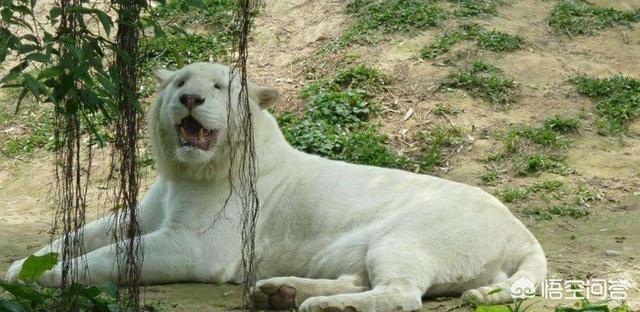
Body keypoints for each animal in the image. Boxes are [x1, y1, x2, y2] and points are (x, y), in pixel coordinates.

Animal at [3, 62, 544, 310]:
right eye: (179, 82)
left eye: (218, 87)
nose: (190, 99)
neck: (187, 171)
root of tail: (521, 231)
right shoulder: (146, 211)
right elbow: (87, 233)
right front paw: (23, 264)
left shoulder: (194, 244)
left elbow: (110, 255)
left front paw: (44, 277)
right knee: (364, 279)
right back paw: (278, 291)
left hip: (412, 233)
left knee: (401, 292)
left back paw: (321, 304)